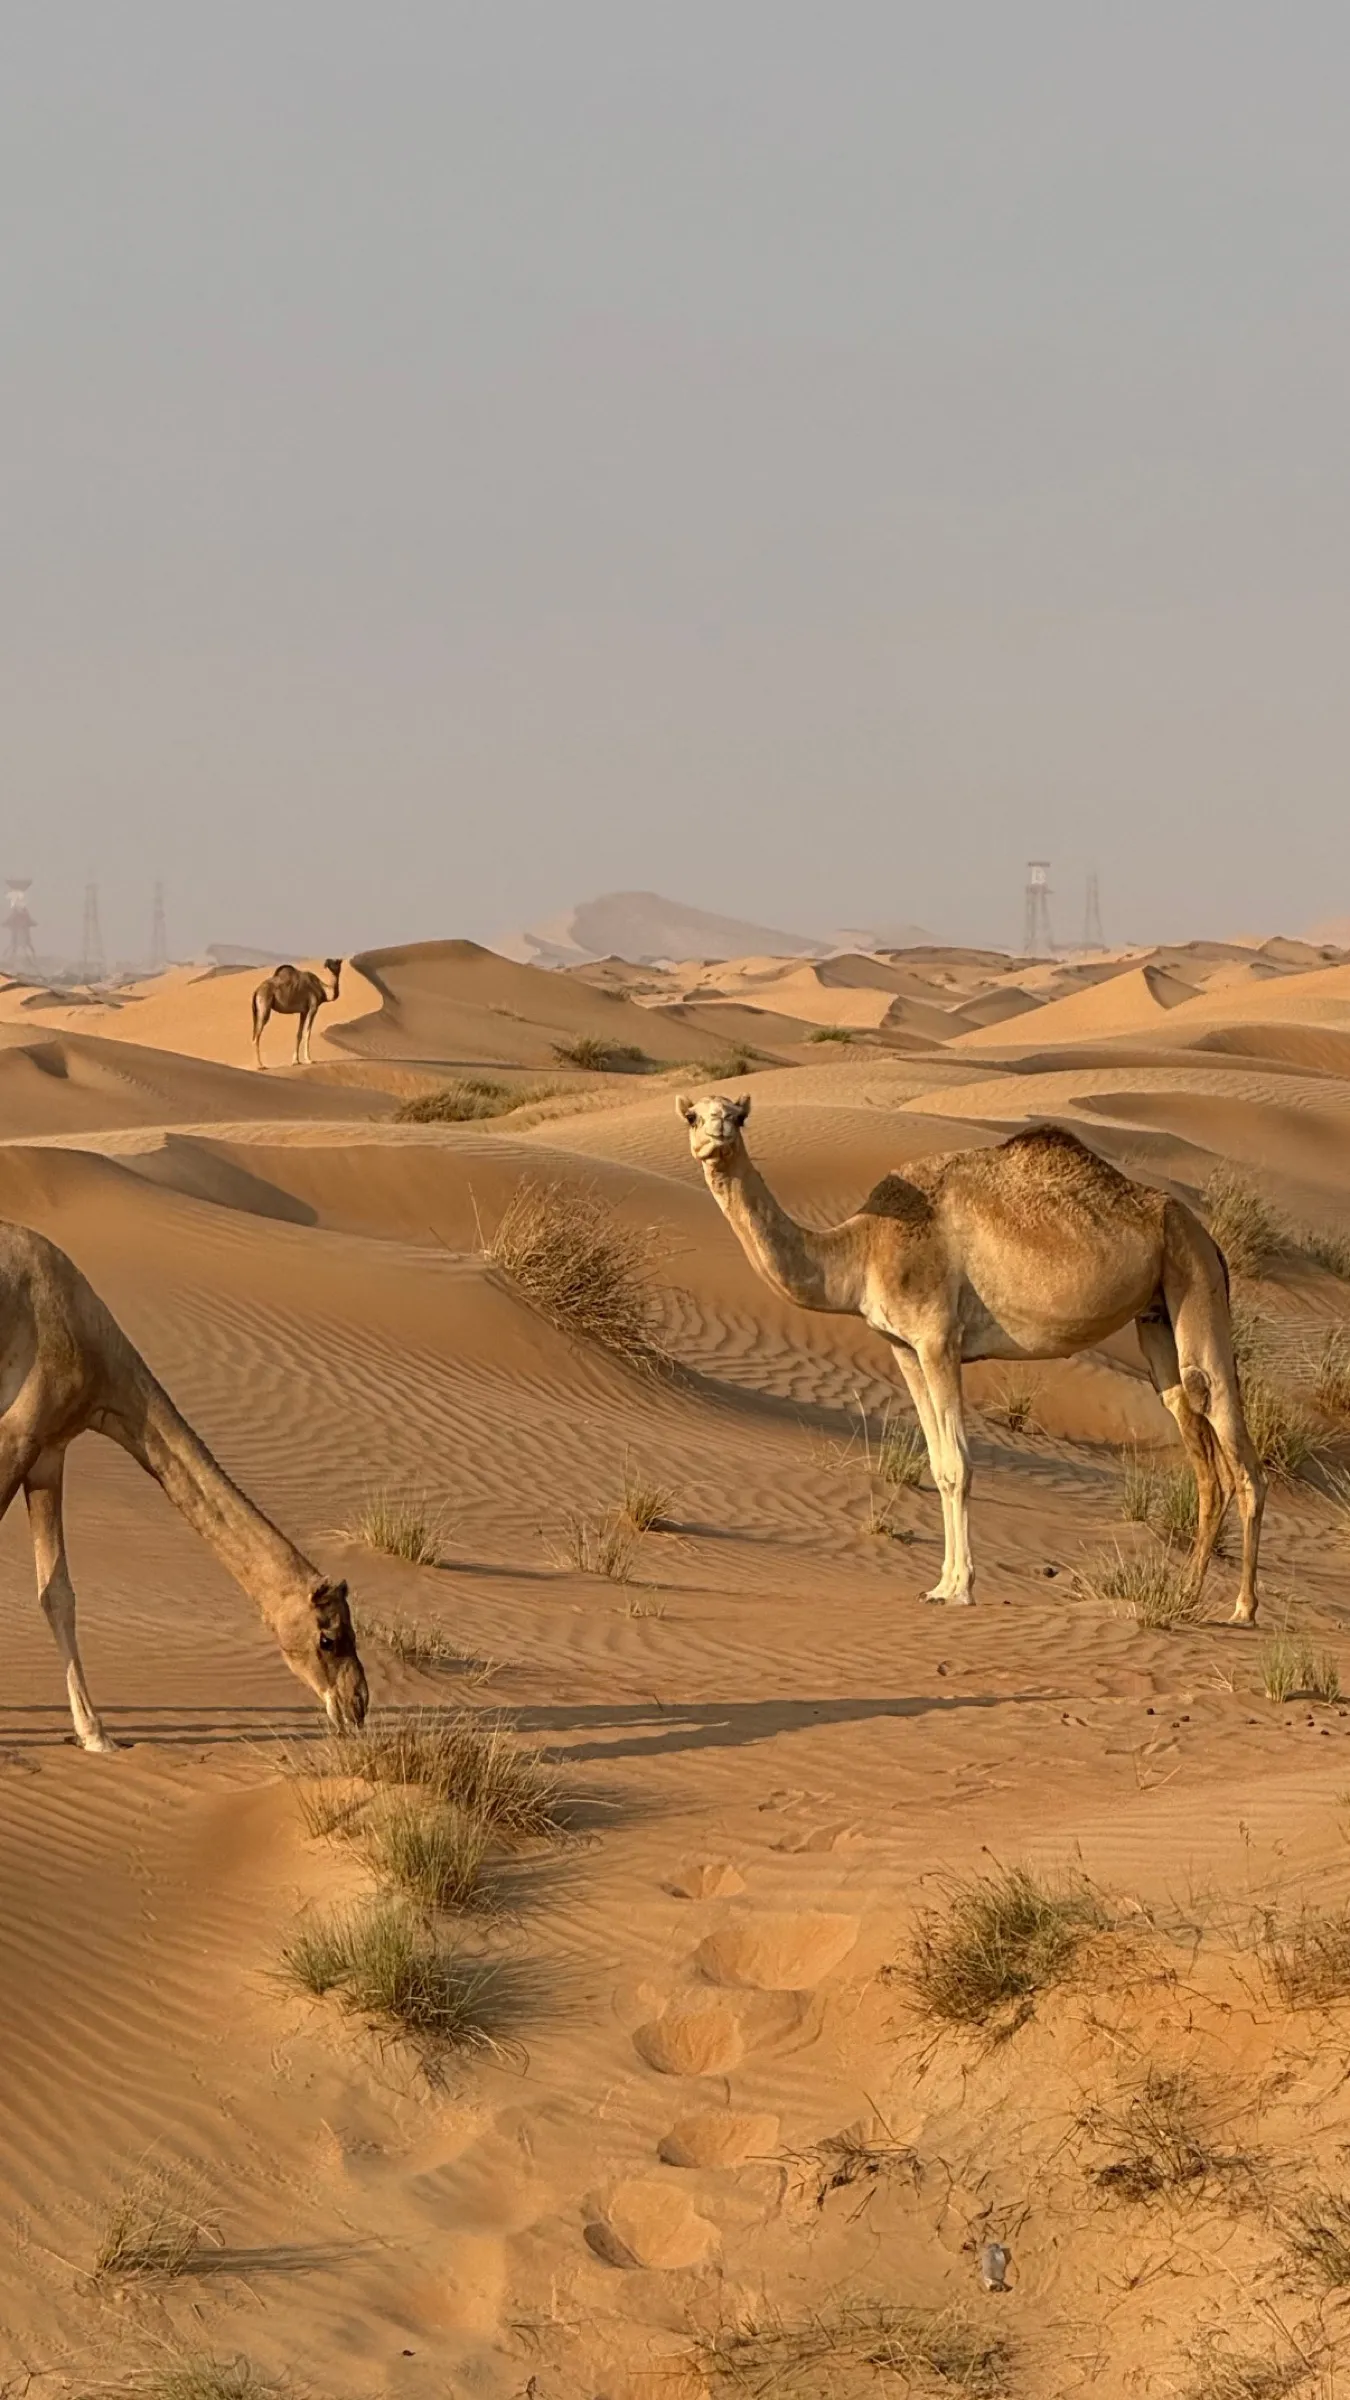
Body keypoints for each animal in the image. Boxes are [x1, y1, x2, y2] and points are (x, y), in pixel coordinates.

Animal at [0, 1221, 368, 1750]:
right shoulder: (18, 1432)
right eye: (328, 1637)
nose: (357, 1705)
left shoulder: (50, 1451)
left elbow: (58, 1592)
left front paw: (96, 1735)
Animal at [677, 1096, 1265, 1619]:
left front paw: (959, 1590)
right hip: (1159, 1317)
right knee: (1201, 1447)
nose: (718, 1132)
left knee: (1236, 1443)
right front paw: (938, 1583)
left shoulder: (939, 1338)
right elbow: (938, 1465)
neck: (862, 1249)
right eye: (693, 1115)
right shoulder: (903, 1347)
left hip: (1196, 1282)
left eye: (738, 1115)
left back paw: (1242, 1608)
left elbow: (958, 1464)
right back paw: (1186, 1594)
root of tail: (1207, 1235)